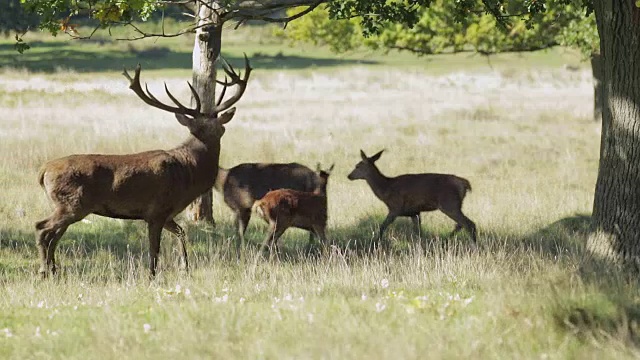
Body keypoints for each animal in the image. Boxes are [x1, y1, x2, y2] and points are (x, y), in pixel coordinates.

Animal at [33, 56, 251, 278]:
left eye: (219, 127)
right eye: (199, 128)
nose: (218, 131)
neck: (188, 173)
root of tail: (43, 171)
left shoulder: (167, 214)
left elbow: (182, 232)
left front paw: (185, 268)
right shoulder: (157, 210)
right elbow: (154, 249)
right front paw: (152, 275)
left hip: (65, 205)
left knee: (53, 235)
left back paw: (53, 270)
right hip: (72, 203)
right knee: (42, 228)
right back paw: (43, 270)